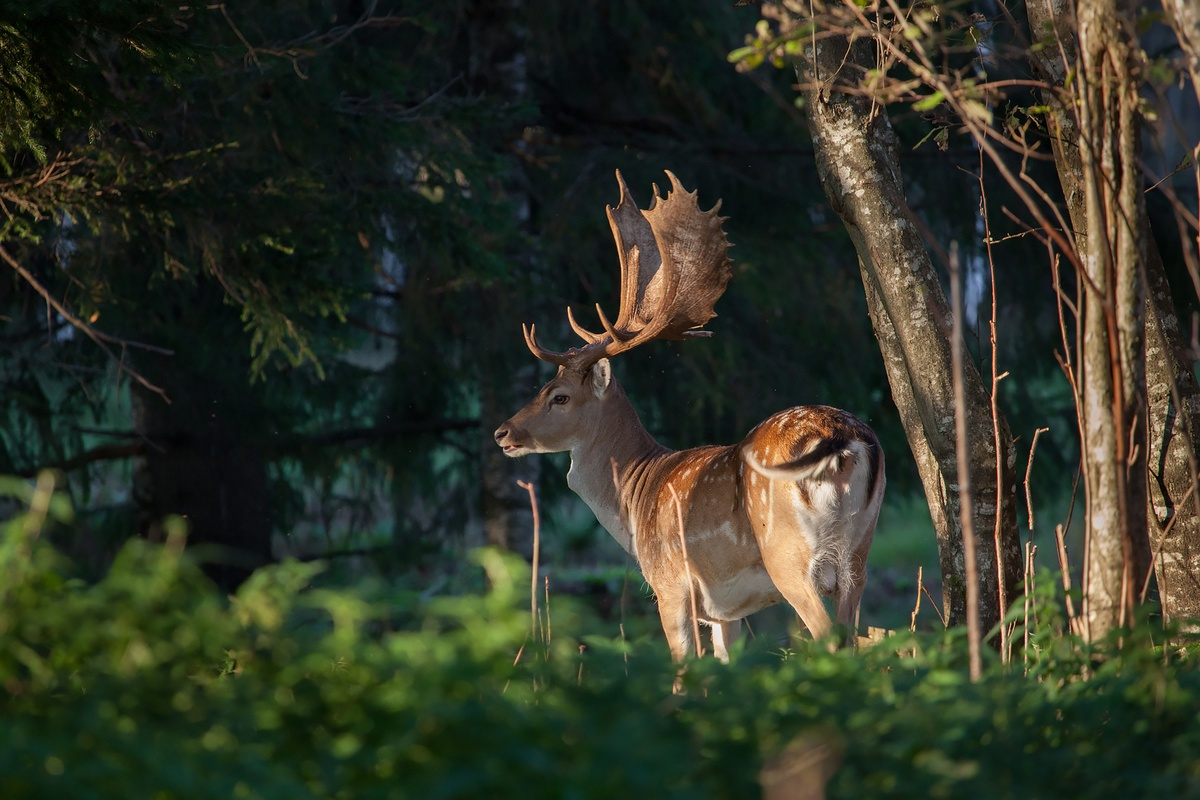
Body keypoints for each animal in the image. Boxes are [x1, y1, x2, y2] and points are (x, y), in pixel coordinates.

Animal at [492, 172, 888, 666]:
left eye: (559, 397)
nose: (503, 432)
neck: (635, 497)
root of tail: (841, 438)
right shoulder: (724, 610)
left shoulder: (671, 584)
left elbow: (684, 669)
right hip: (859, 554)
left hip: (789, 558)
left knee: (828, 636)